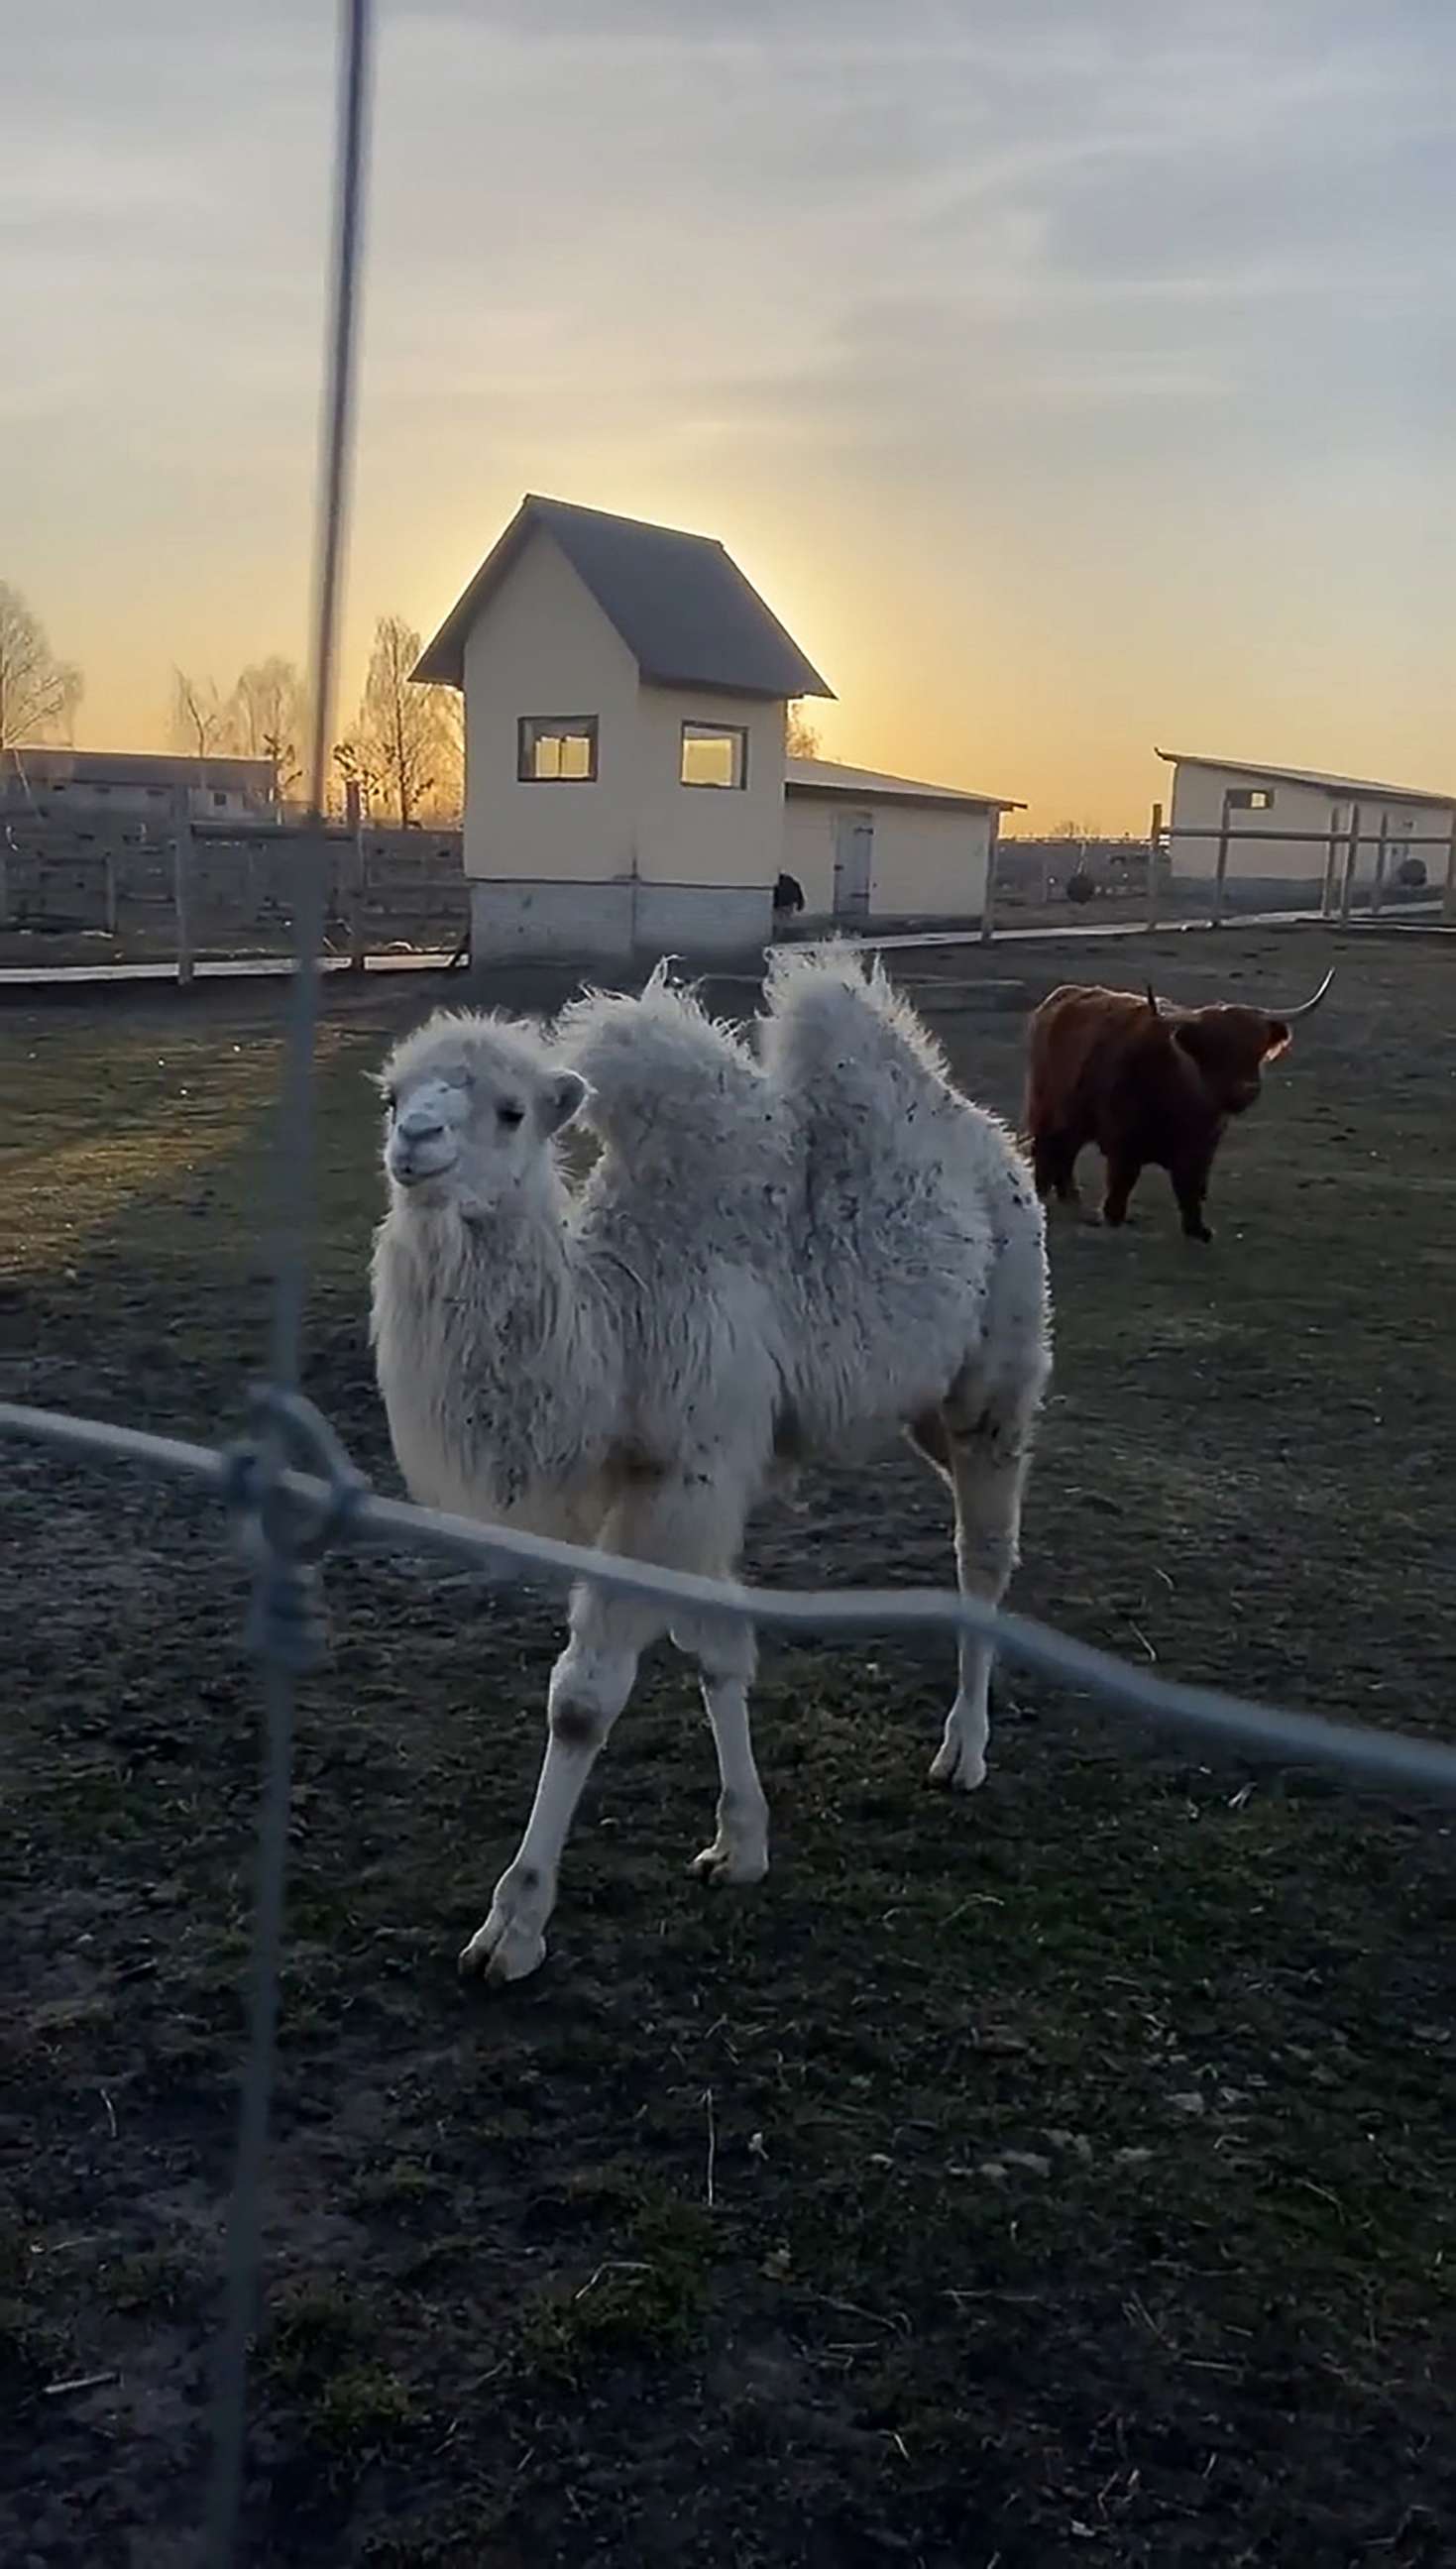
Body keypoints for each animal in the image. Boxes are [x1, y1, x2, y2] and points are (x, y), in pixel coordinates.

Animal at [370, 955, 1053, 1972]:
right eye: (394, 1093)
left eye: (509, 1110)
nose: (413, 1141)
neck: (616, 1326)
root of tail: (991, 1141)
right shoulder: (681, 1477)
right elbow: (718, 1650)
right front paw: (740, 1844)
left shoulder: (683, 1475)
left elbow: (584, 1698)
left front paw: (512, 1926)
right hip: (923, 1409)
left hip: (998, 1374)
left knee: (984, 1553)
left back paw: (962, 1751)